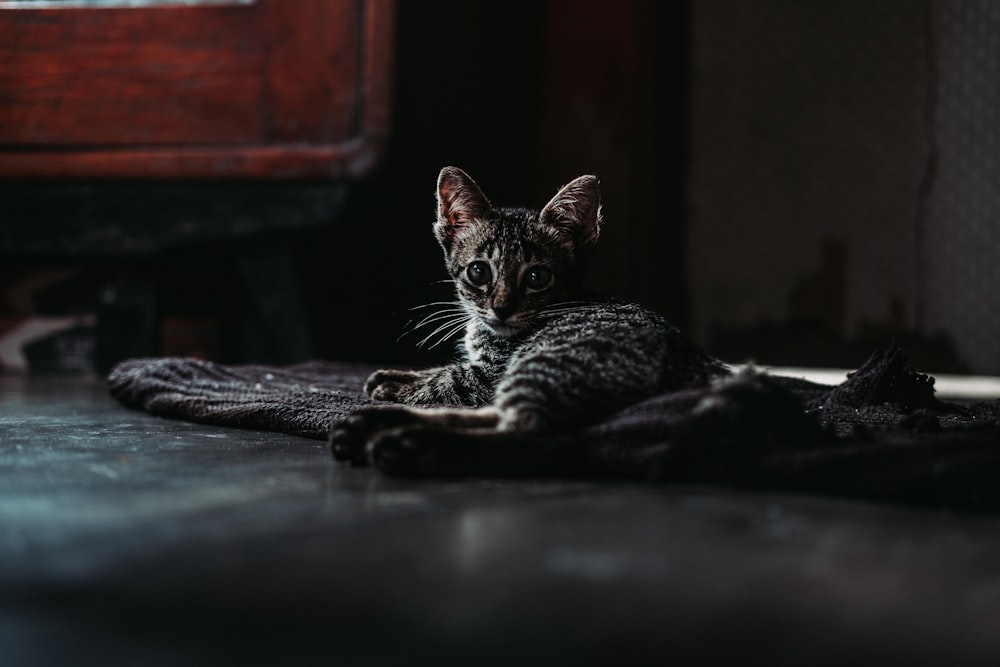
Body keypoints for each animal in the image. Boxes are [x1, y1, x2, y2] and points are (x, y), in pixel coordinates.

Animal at [332, 165, 732, 472]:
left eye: (537, 277)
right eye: (478, 272)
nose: (502, 308)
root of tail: (702, 367)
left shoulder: (490, 373)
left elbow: (450, 379)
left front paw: (398, 387)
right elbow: (441, 371)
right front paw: (394, 376)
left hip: (550, 359)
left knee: (536, 435)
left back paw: (410, 443)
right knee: (503, 416)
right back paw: (373, 423)